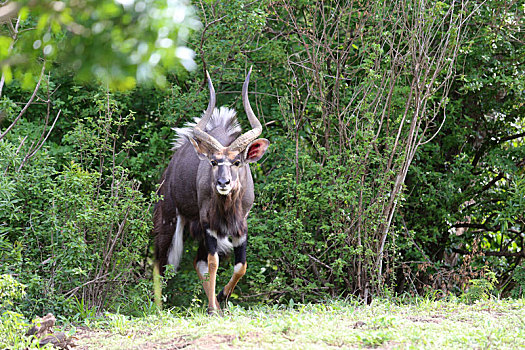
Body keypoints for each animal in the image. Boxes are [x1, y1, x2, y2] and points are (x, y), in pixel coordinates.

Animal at [152, 68, 268, 314]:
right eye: (214, 162)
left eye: (237, 162)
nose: (223, 183)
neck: (227, 207)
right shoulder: (209, 225)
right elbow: (214, 263)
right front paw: (215, 306)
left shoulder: (241, 226)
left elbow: (241, 265)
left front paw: (222, 298)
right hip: (169, 220)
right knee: (160, 262)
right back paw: (157, 308)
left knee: (198, 262)